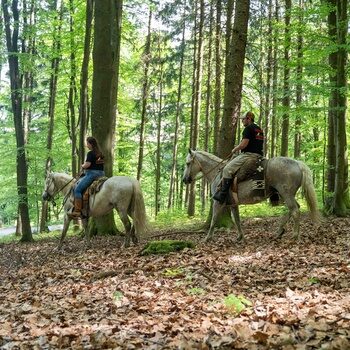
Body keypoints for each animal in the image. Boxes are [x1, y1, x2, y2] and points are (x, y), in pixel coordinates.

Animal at [182, 149, 322, 242]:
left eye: (188, 163)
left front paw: (207, 238)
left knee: (295, 211)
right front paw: (240, 237)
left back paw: (294, 235)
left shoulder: (218, 202)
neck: (217, 173)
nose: (184, 180)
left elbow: (214, 220)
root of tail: (298, 163)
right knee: (294, 209)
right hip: (287, 195)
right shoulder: (233, 204)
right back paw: (279, 231)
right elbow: (237, 220)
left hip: (286, 194)